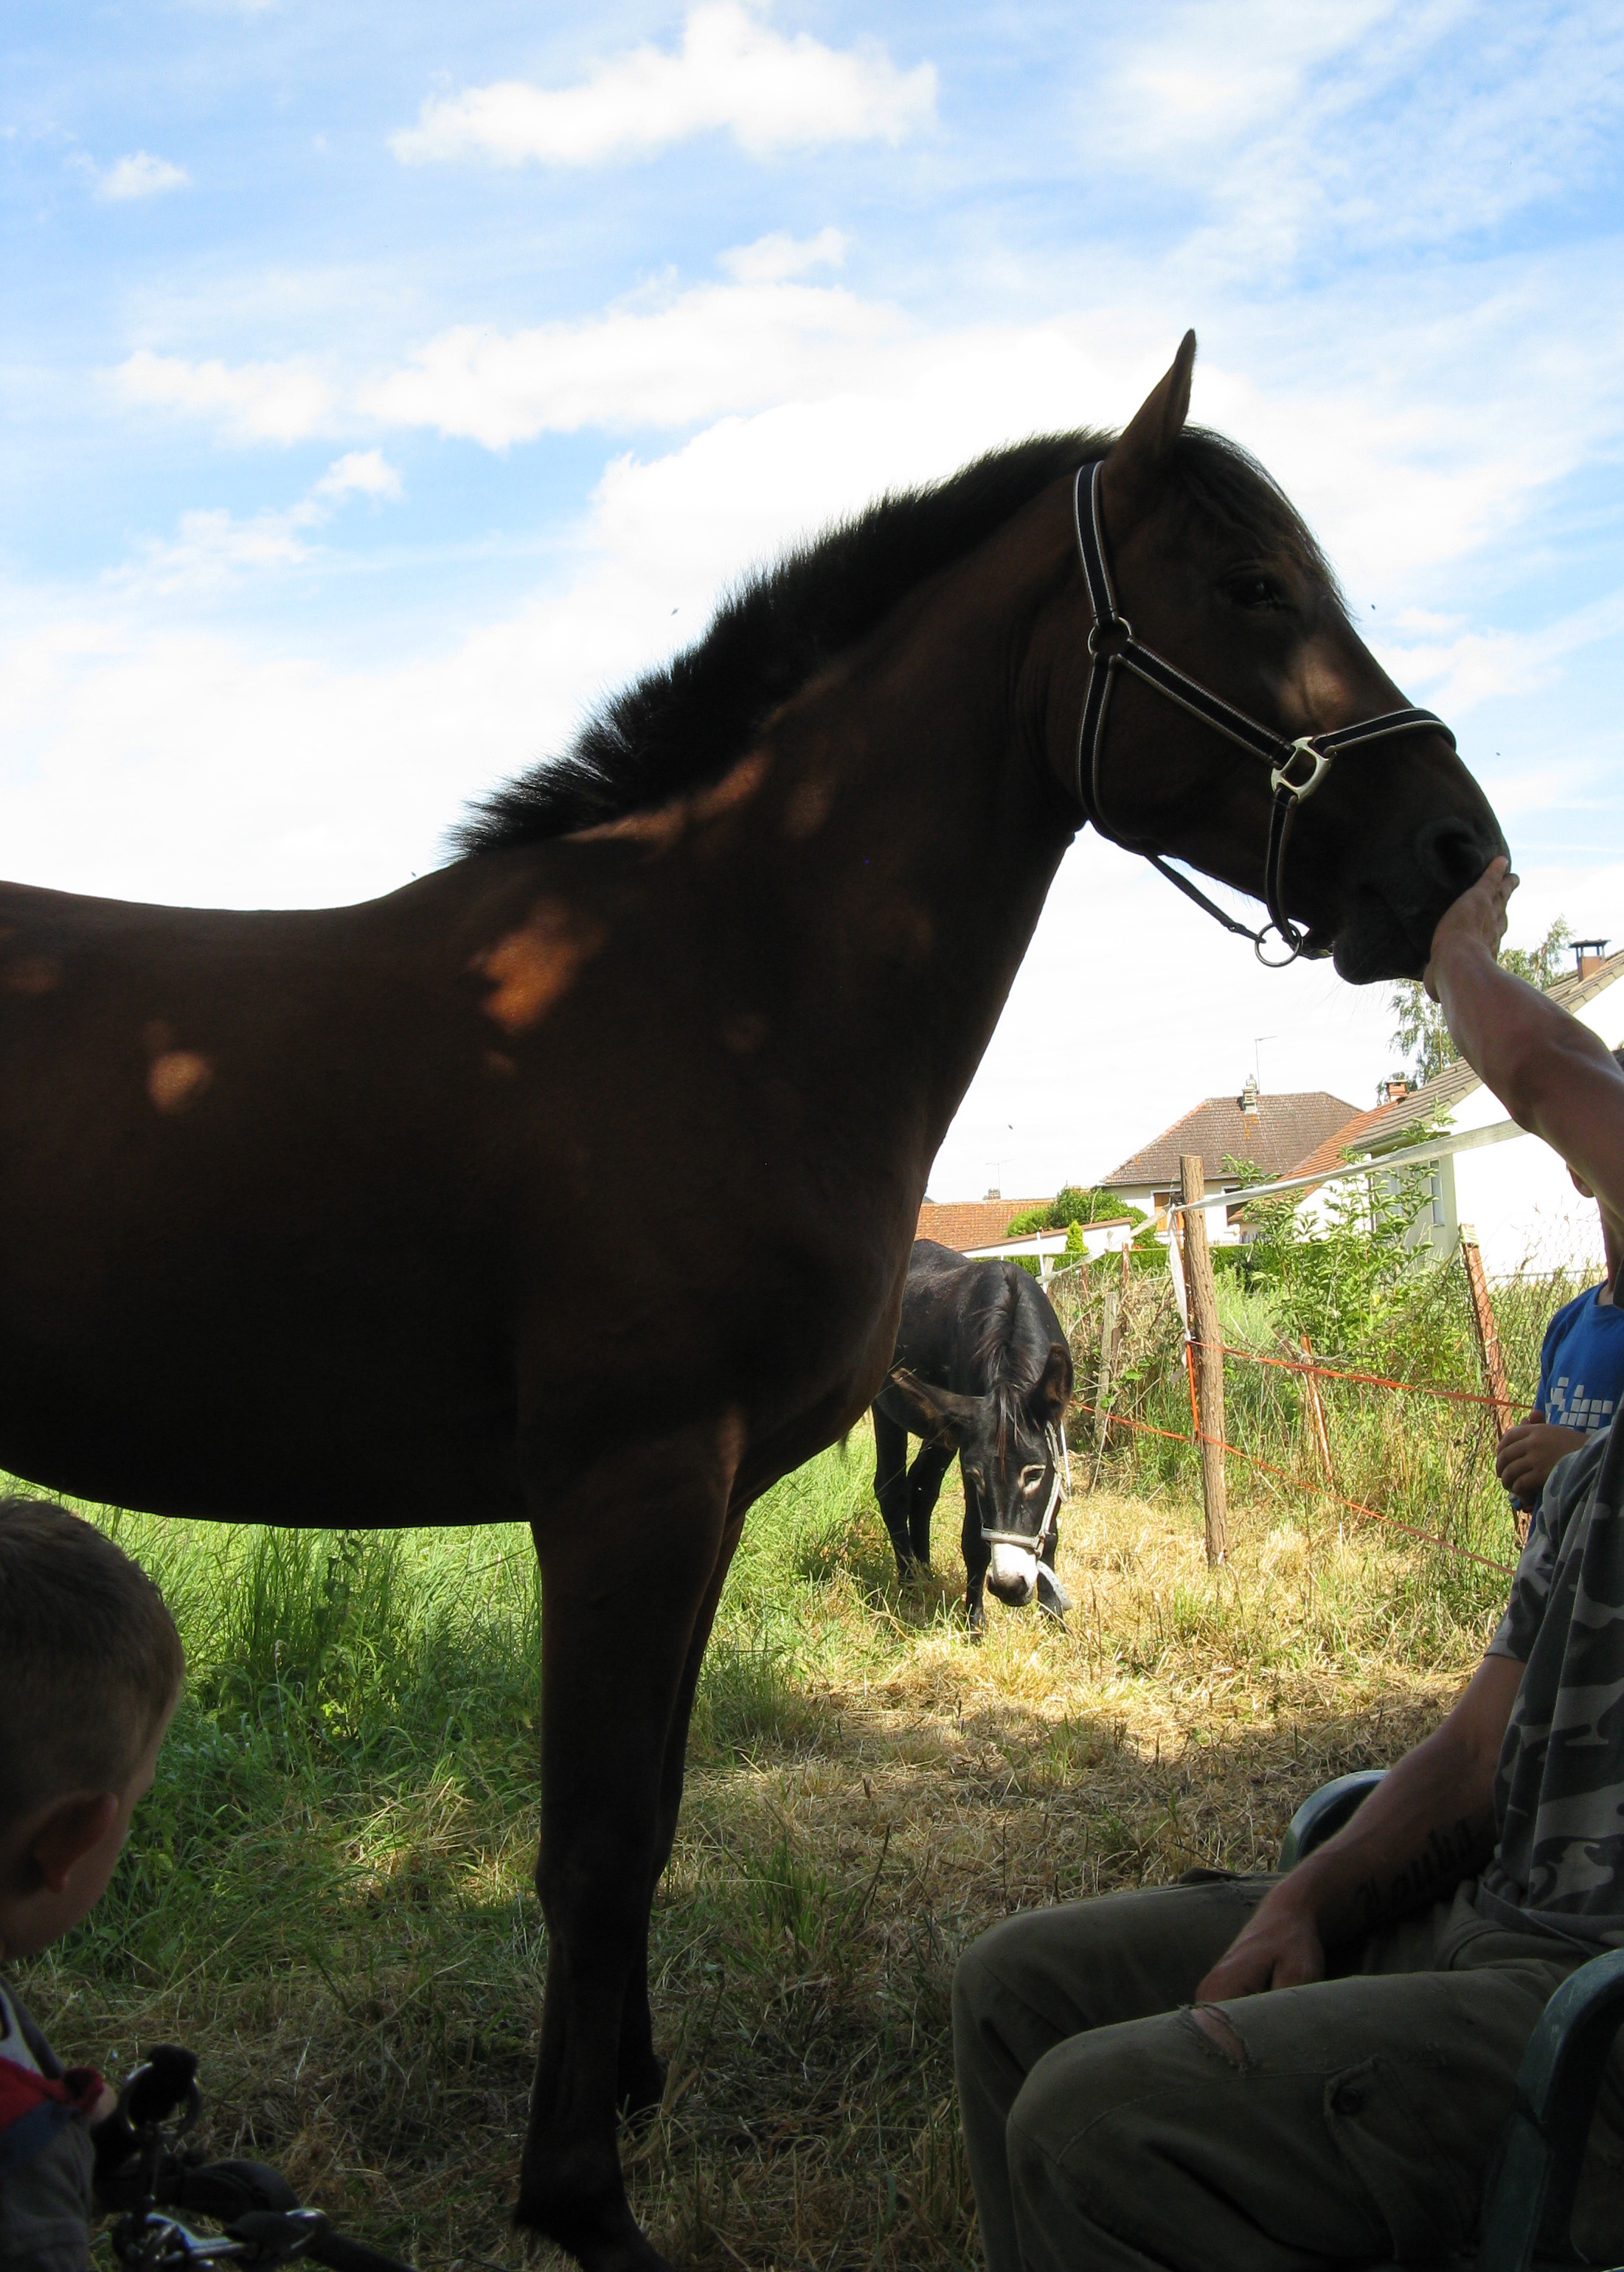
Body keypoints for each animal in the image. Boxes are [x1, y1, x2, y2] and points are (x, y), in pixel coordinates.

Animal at [872, 1245, 1072, 1617]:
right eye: (975, 1477)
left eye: (1035, 1474)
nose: (1009, 1587)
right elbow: (973, 1541)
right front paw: (973, 1620)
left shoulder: (1052, 1433)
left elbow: (1049, 1529)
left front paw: (1053, 1614)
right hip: (886, 1410)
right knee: (892, 1489)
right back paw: (909, 1583)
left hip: (943, 1428)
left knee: (922, 1485)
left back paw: (925, 1570)